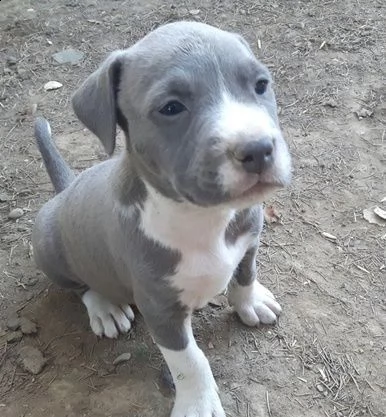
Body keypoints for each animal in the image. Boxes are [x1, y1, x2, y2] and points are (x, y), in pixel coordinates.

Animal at [33, 20, 292, 416]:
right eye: (171, 107)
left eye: (261, 85)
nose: (259, 149)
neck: (204, 218)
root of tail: (66, 188)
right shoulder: (160, 307)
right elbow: (190, 360)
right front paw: (199, 403)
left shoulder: (250, 239)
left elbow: (245, 274)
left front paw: (251, 302)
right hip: (47, 247)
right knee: (80, 286)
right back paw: (105, 308)